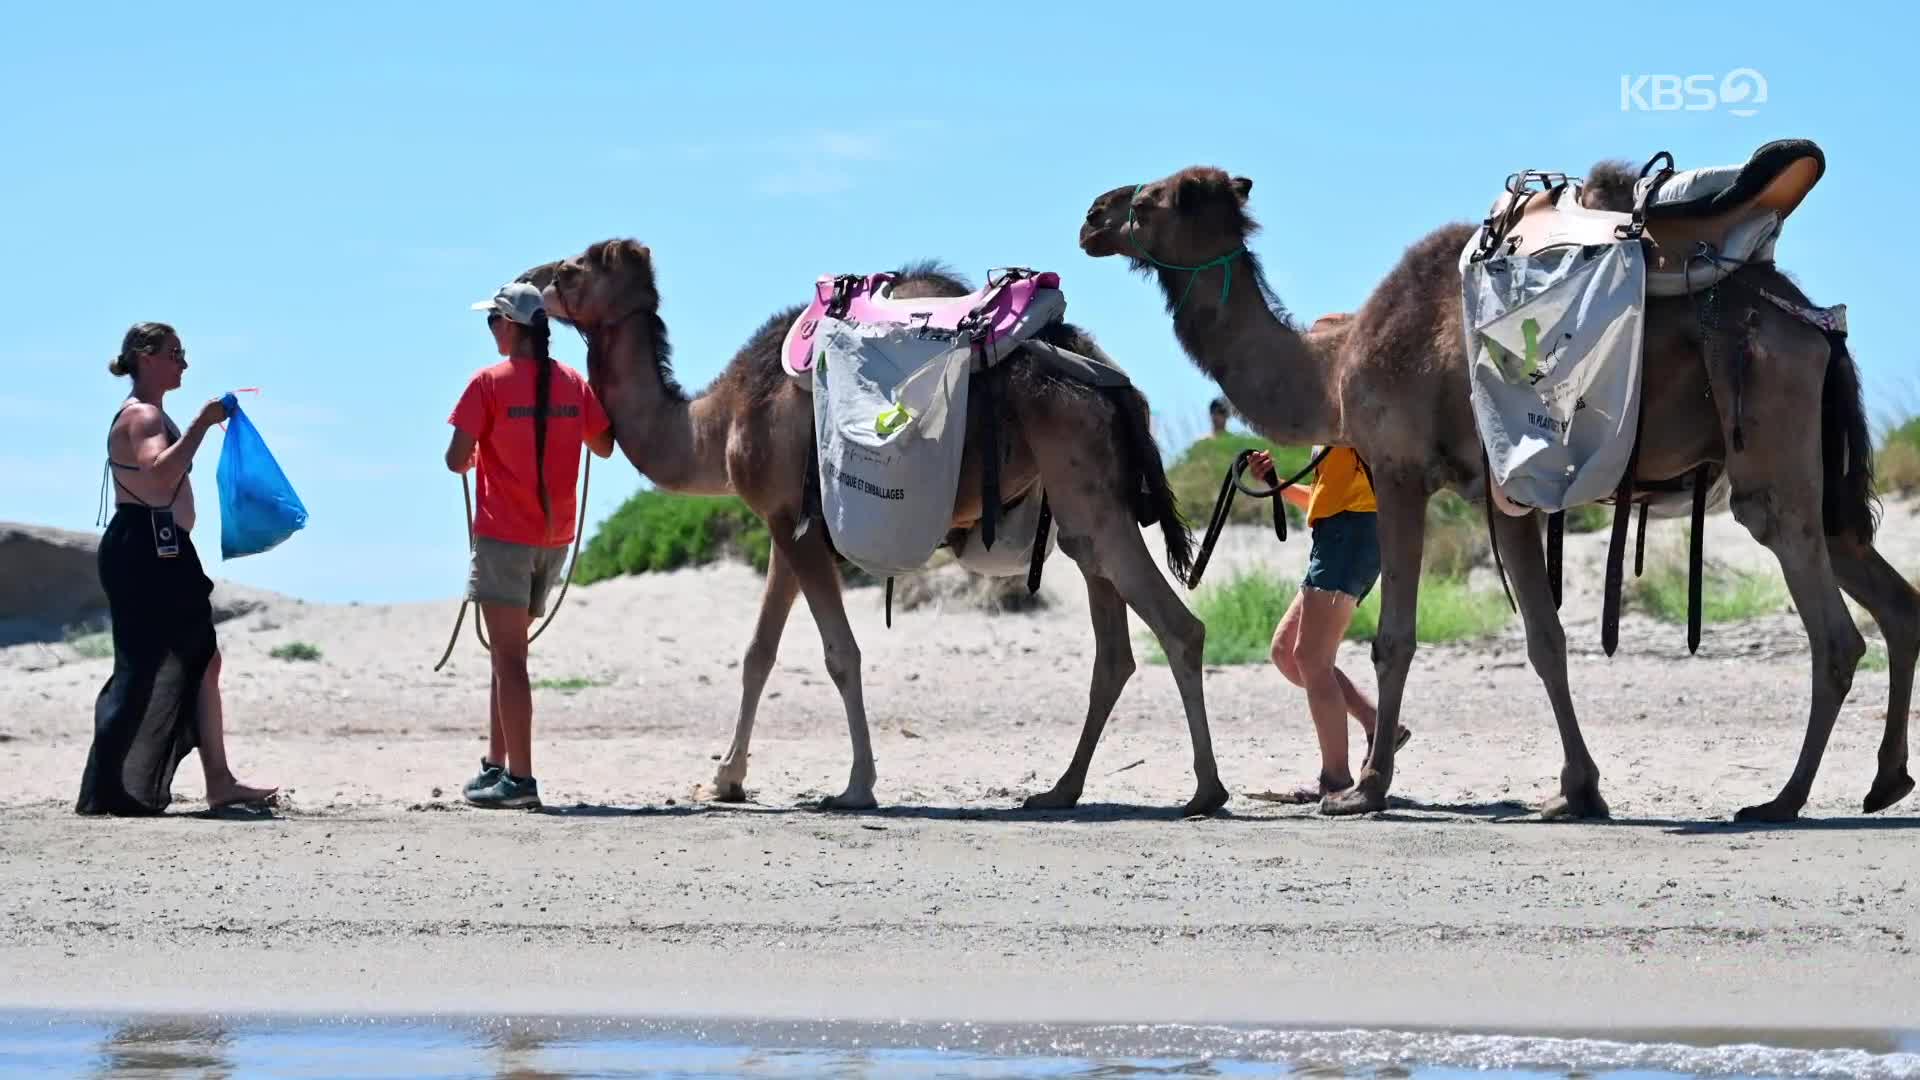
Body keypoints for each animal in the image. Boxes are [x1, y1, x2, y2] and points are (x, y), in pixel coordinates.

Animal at [510, 239, 1228, 810]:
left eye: (571, 268)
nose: (521, 282)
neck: (716, 422)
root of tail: (1114, 380)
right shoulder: (785, 525)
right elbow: (758, 653)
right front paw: (726, 779)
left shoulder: (789, 524)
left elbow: (839, 653)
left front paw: (855, 786)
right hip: (1083, 501)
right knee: (1112, 647)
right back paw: (1059, 790)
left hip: (1087, 485)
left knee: (1180, 628)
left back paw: (1205, 790)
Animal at [1082, 164, 1920, 818]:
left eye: (1155, 198)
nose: (1092, 216)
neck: (1336, 360)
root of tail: (1812, 320)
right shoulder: (1501, 489)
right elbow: (1545, 640)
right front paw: (1578, 791)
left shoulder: (1400, 469)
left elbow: (1395, 637)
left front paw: (1367, 789)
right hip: (1816, 467)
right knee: (1890, 597)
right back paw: (1883, 783)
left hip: (1771, 438)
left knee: (1833, 629)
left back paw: (1783, 799)